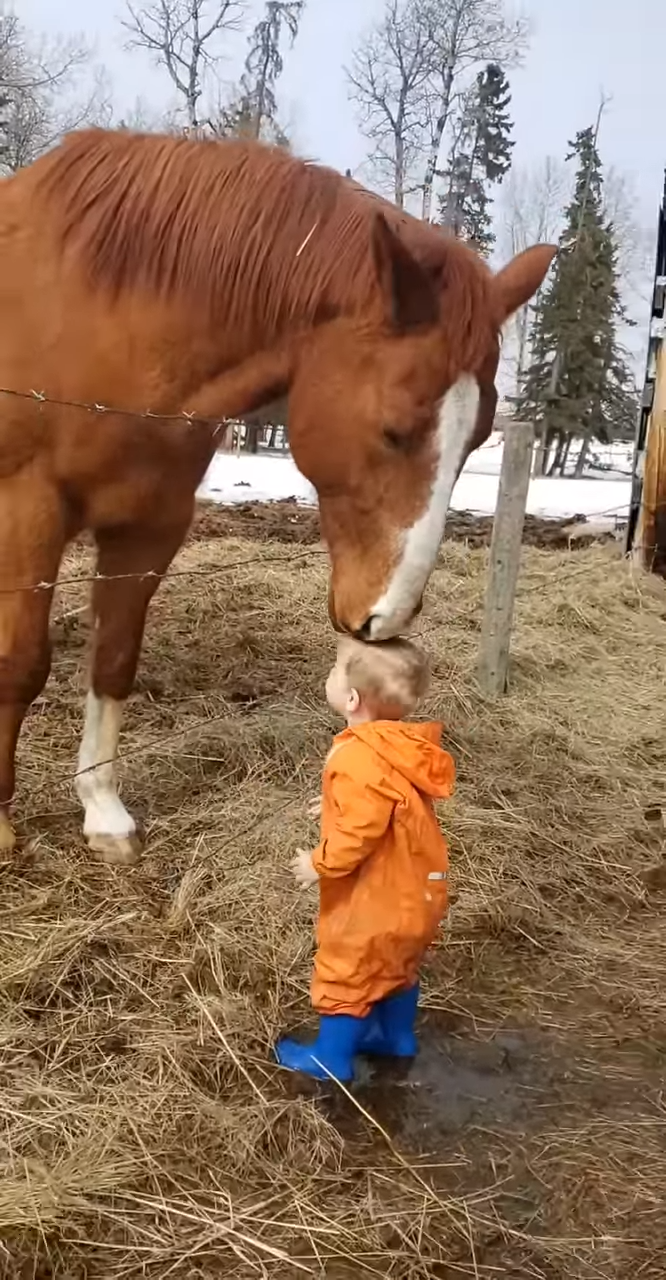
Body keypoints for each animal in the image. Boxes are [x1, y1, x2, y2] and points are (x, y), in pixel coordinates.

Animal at [0, 127, 553, 860]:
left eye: (480, 436)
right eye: (394, 429)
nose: (384, 619)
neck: (104, 321)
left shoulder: (150, 526)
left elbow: (114, 658)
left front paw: (103, 811)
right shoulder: (26, 509)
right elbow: (19, 663)